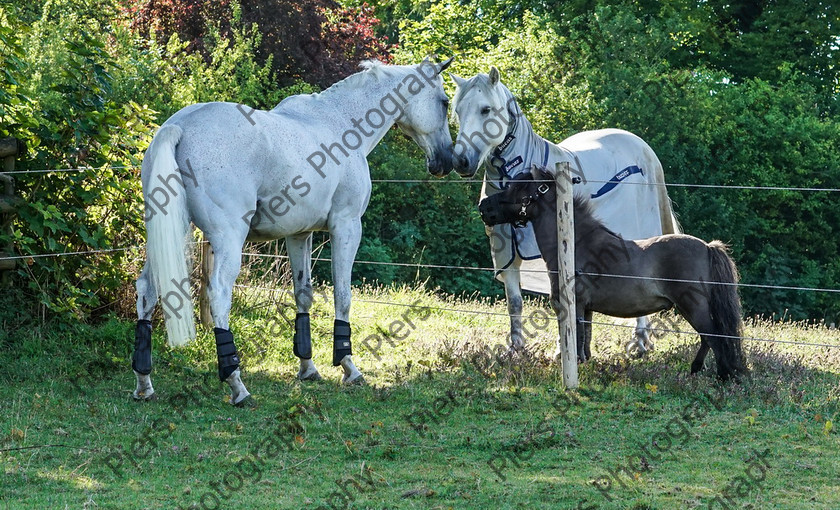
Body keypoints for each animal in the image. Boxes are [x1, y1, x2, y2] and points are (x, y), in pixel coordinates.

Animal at [133, 57, 452, 404]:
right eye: (445, 102)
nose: (447, 161)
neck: (339, 122)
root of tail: (180, 126)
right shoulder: (347, 226)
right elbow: (343, 295)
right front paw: (349, 367)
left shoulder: (299, 235)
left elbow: (303, 295)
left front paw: (308, 368)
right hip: (228, 239)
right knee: (218, 294)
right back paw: (237, 385)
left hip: (169, 238)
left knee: (147, 290)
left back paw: (144, 383)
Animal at [450, 66, 680, 358]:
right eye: (457, 111)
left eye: (486, 109)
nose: (461, 161)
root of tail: (642, 147)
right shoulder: (506, 255)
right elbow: (515, 302)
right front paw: (515, 349)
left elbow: (563, 305)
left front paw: (564, 351)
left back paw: (639, 342)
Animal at [480, 167, 748, 378]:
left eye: (516, 187)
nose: (484, 206)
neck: (574, 244)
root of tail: (707, 247)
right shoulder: (585, 309)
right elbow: (585, 340)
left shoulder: (573, 305)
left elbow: (575, 340)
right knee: (708, 338)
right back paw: (696, 370)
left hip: (692, 306)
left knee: (714, 337)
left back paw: (723, 375)